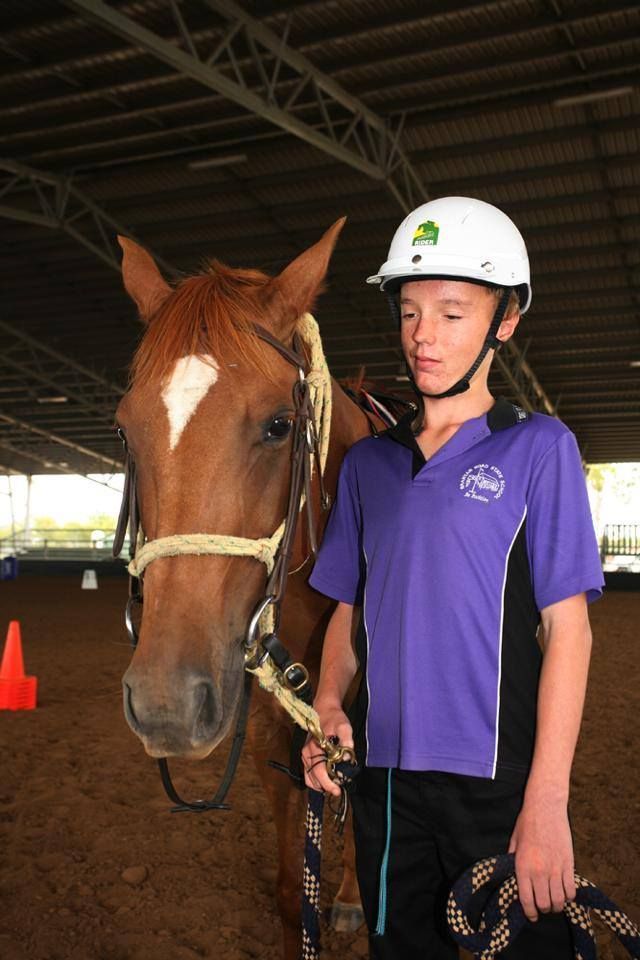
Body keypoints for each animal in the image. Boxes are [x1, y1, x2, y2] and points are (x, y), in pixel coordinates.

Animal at [114, 220, 384, 959]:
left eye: (279, 425)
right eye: (123, 427)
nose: (166, 704)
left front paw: (346, 899)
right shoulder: (264, 699)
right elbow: (286, 821)